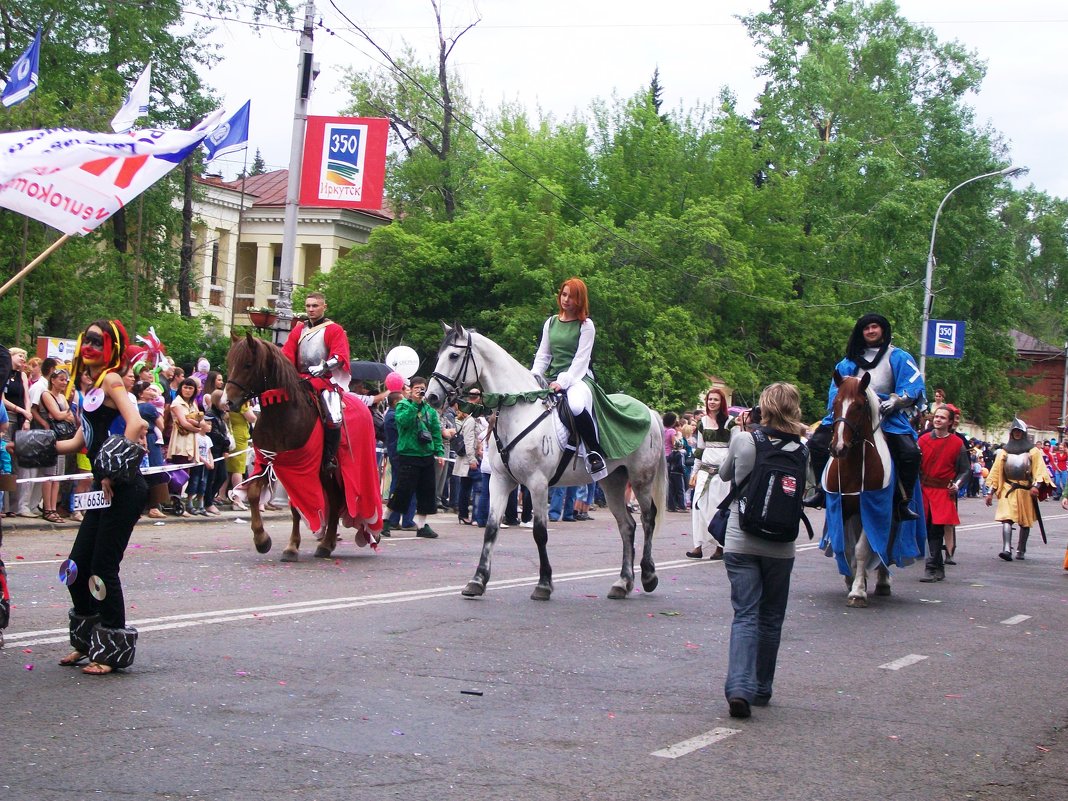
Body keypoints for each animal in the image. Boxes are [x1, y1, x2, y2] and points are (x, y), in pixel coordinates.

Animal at [223, 333, 343, 563]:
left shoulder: (298, 468)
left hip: (329, 471)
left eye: (247, 364)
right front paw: (261, 540)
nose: (228, 402)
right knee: (334, 501)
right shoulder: (267, 462)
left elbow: (296, 506)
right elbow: (253, 493)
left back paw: (325, 544)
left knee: (336, 501)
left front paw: (291, 547)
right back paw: (328, 542)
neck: (281, 414)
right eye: (229, 363)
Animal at [425, 326, 666, 602]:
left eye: (453, 355)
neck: (519, 411)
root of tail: (648, 411)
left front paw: (543, 584)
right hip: (612, 482)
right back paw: (622, 583)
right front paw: (477, 581)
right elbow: (491, 528)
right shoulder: (499, 481)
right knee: (627, 525)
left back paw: (648, 575)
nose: (431, 396)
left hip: (640, 479)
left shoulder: (537, 483)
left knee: (648, 519)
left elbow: (540, 532)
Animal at [820, 373, 897, 610]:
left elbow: (862, 549)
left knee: (885, 546)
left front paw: (858, 592)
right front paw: (851, 579)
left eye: (859, 406)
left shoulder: (872, 508)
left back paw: (882, 581)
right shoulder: (840, 507)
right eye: (835, 404)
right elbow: (844, 546)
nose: (838, 447)